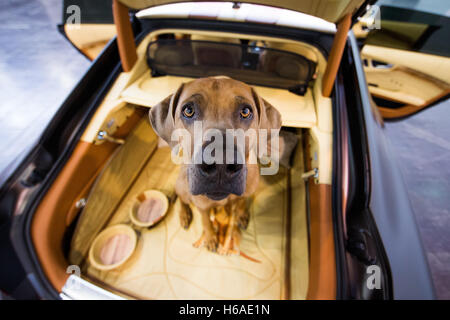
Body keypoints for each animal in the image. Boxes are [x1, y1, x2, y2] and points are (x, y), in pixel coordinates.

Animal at [149, 76, 280, 254]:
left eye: (246, 111)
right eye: (188, 110)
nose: (220, 164)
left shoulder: (246, 191)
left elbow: (241, 202)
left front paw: (241, 214)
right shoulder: (202, 206)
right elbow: (206, 221)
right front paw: (210, 238)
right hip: (183, 185)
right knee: (182, 199)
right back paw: (184, 214)